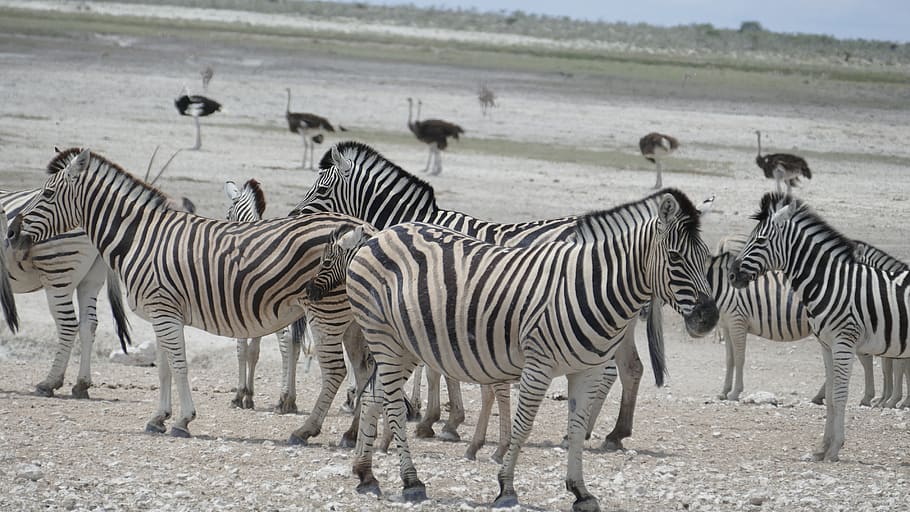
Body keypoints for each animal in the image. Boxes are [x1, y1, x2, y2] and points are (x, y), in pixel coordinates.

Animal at [1, 187, 130, 399]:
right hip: (91, 279)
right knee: (89, 324)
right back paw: (81, 384)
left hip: (57, 272)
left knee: (68, 325)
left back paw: (49, 383)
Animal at [290, 141, 664, 455]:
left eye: (322, 188)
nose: (294, 217)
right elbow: (441, 364)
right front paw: (445, 420)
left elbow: (436, 368)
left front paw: (439, 421)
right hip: (614, 318)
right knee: (630, 368)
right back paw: (611, 433)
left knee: (610, 371)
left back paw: (588, 432)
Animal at [341, 190, 718, 509]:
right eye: (675, 257)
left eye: (708, 259)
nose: (709, 318)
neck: (591, 286)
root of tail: (382, 233)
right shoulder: (539, 365)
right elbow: (523, 427)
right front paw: (506, 488)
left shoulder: (588, 370)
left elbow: (577, 429)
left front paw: (581, 491)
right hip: (386, 338)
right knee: (393, 406)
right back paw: (411, 481)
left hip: (404, 345)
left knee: (374, 396)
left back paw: (366, 474)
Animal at [730, 193, 910, 461]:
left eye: (760, 240)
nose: (731, 275)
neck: (829, 282)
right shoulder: (826, 345)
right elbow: (832, 397)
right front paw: (822, 448)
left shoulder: (844, 343)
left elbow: (840, 394)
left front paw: (834, 449)